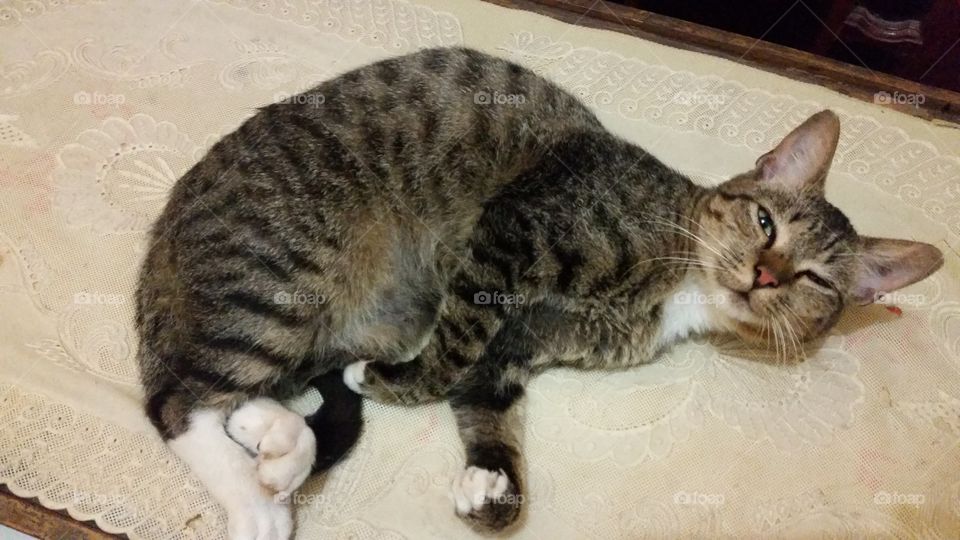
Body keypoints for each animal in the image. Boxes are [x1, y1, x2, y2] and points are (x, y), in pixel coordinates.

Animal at [135, 45, 944, 536]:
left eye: (813, 280)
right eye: (765, 221)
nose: (766, 275)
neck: (678, 279)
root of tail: (164, 233)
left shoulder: (519, 346)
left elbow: (483, 398)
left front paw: (490, 486)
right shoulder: (510, 237)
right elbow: (451, 353)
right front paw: (394, 384)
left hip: (353, 317)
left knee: (251, 391)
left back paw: (274, 442)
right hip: (281, 279)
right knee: (176, 402)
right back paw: (257, 504)